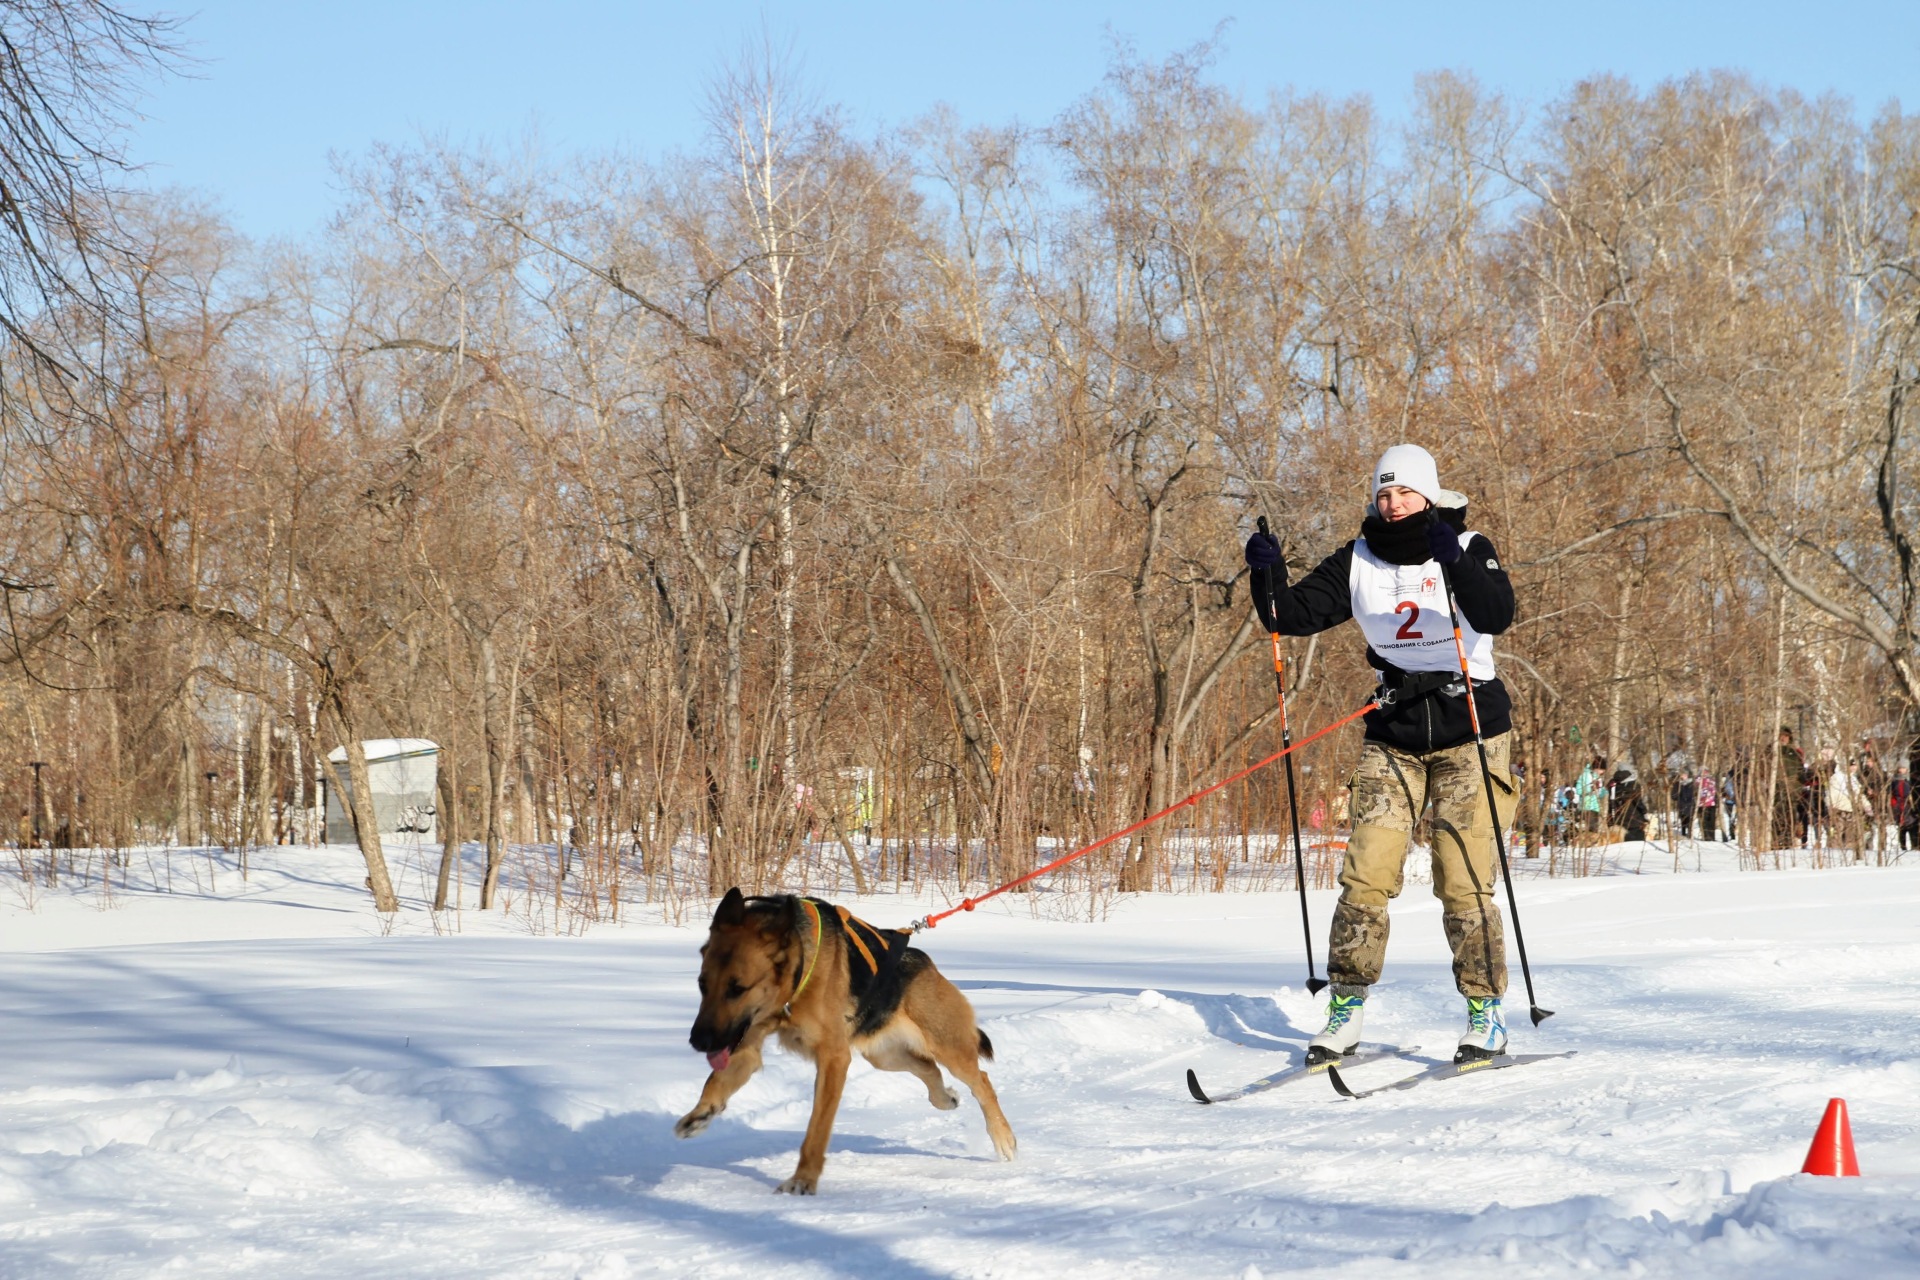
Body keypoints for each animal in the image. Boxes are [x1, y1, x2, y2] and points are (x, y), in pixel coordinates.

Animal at [677, 888, 1016, 1194]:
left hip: (947, 1048)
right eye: (702, 984)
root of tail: (927, 964)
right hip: (884, 1057)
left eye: (737, 989)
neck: (799, 973)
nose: (698, 1040)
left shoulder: (834, 1059)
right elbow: (715, 1081)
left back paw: (1003, 1137)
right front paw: (701, 1113)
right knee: (929, 1069)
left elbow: (817, 1129)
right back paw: (945, 1098)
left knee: (981, 1081)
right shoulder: (745, 1047)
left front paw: (804, 1179)